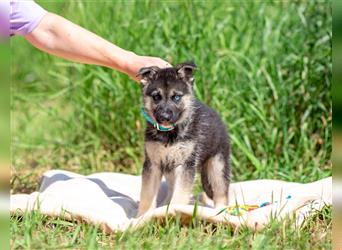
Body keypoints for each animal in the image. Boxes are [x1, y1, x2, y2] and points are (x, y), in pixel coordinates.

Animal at [136, 62, 230, 217]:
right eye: (156, 97)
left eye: (176, 97)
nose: (165, 117)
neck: (169, 134)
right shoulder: (153, 164)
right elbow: (147, 193)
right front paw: (142, 216)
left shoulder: (186, 165)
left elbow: (180, 194)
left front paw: (174, 211)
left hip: (217, 165)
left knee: (221, 192)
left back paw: (220, 212)